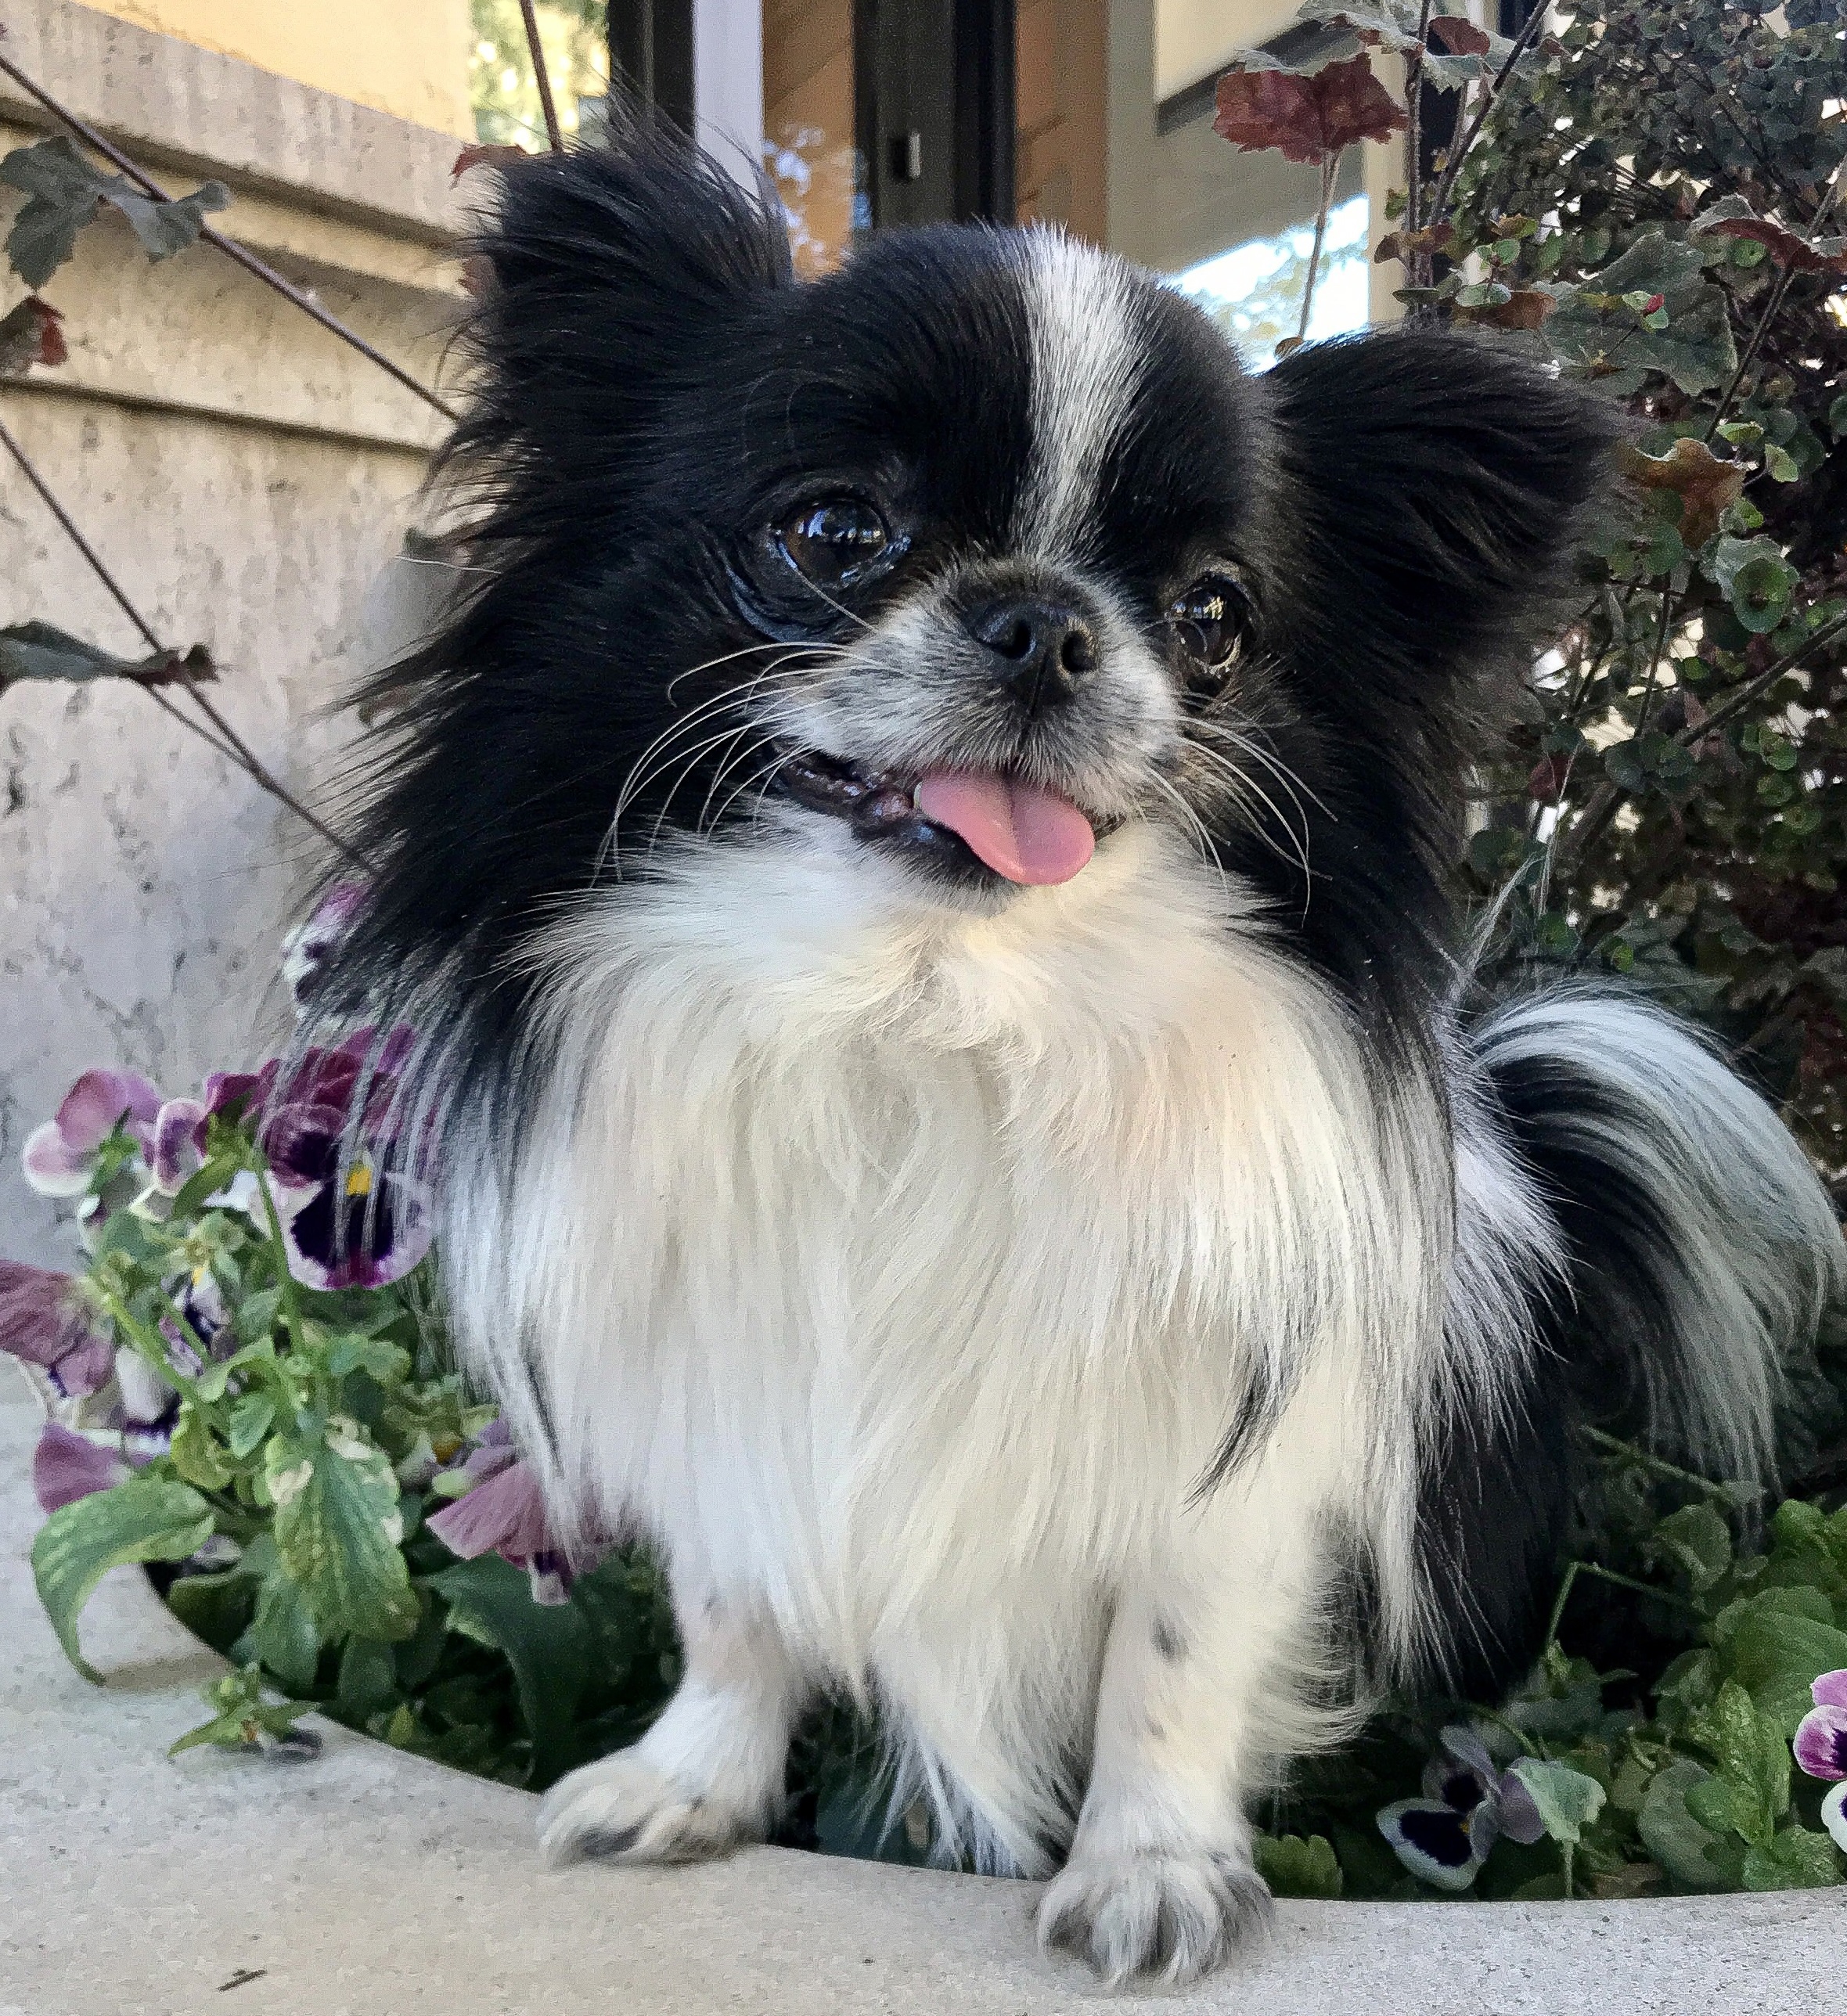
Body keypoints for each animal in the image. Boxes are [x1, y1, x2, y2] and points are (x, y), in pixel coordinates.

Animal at [314, 134, 1831, 1975]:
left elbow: (1167, 1660)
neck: (931, 1011)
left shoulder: (1240, 1480)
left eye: (1213, 616)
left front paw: (1150, 1868)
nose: (1042, 621)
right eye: (834, 529)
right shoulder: (734, 1390)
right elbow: (736, 1607)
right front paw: (693, 1785)